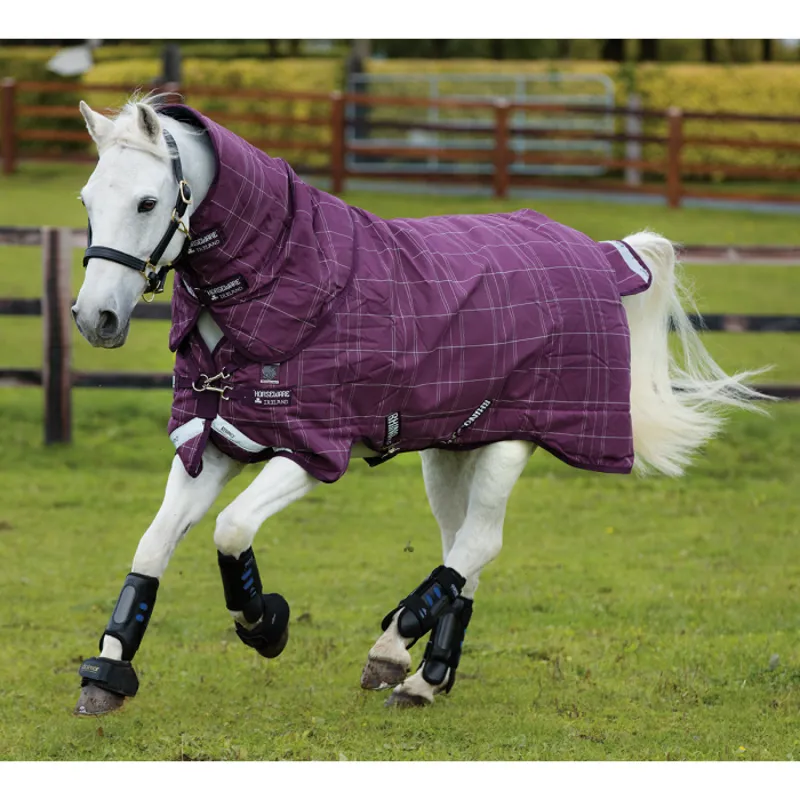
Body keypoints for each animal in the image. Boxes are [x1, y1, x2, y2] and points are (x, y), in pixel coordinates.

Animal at [70, 96, 768, 716]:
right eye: (86, 201)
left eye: (148, 202)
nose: (95, 318)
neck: (285, 284)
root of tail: (594, 253)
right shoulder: (214, 439)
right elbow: (153, 546)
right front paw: (107, 672)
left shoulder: (311, 449)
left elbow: (232, 528)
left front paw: (266, 624)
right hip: (454, 447)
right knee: (464, 550)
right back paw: (426, 676)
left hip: (512, 439)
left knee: (479, 541)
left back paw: (392, 647)